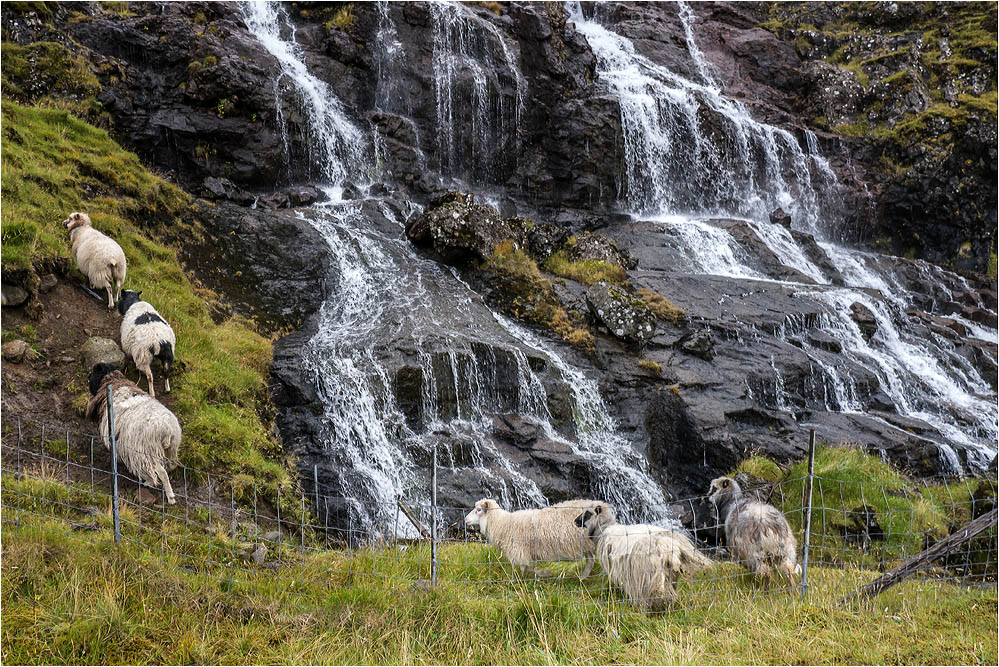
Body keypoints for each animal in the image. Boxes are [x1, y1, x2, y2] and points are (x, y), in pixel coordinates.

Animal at [86, 362, 182, 504]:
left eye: (94, 372)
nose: (88, 378)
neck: (114, 381)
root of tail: (166, 430)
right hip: (171, 449)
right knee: (170, 466)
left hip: (146, 451)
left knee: (160, 472)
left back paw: (167, 495)